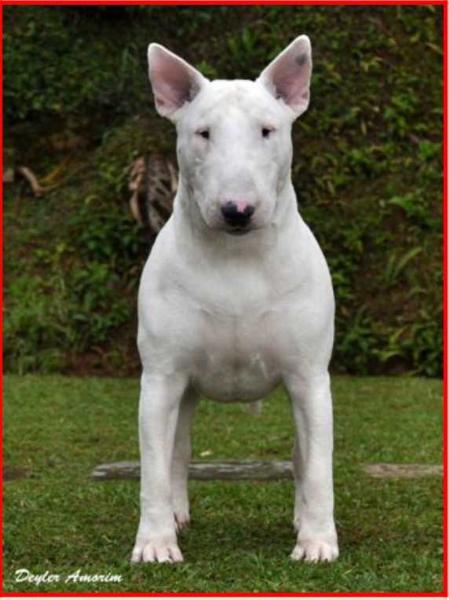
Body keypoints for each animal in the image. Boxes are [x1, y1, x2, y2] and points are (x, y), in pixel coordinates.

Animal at [131, 36, 338, 564]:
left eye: (268, 130)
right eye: (202, 133)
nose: (237, 211)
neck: (237, 257)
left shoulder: (308, 376)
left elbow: (317, 462)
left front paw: (318, 541)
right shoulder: (161, 377)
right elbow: (154, 464)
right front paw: (155, 543)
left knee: (301, 455)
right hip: (184, 390)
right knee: (178, 450)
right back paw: (176, 516)